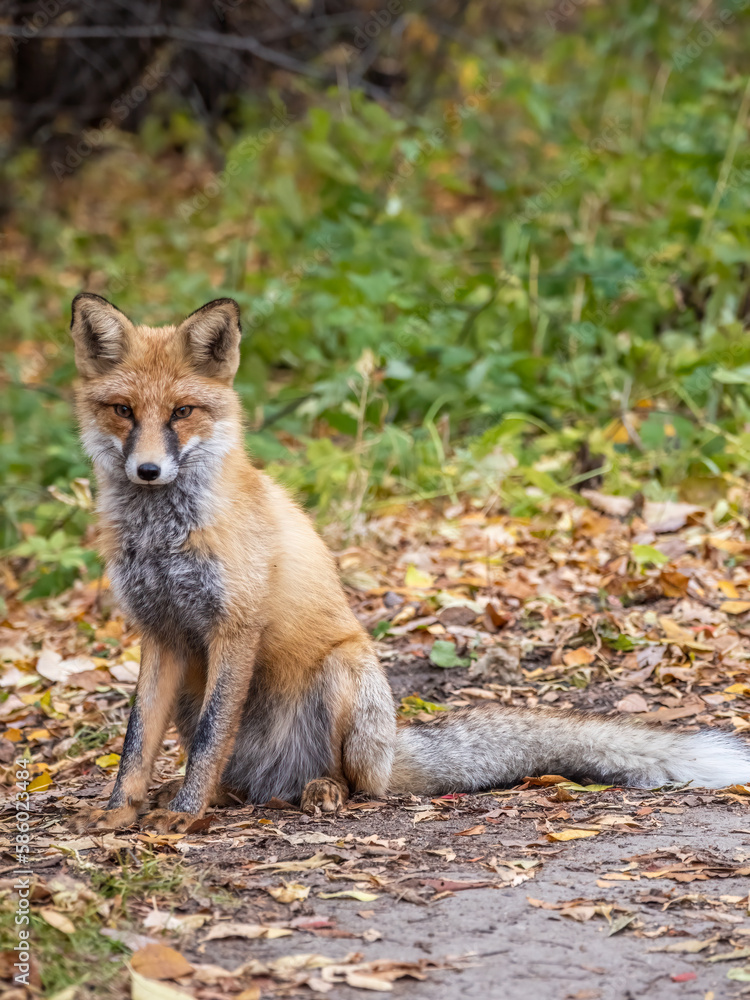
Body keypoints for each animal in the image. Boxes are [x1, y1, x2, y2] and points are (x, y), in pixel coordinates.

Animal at [72, 292, 750, 832]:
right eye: (124, 411)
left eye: (182, 412)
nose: (148, 470)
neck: (163, 539)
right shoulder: (162, 635)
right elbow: (136, 742)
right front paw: (120, 811)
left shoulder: (233, 627)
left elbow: (212, 739)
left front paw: (184, 818)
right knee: (240, 781)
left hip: (344, 674)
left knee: (353, 786)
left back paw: (318, 791)